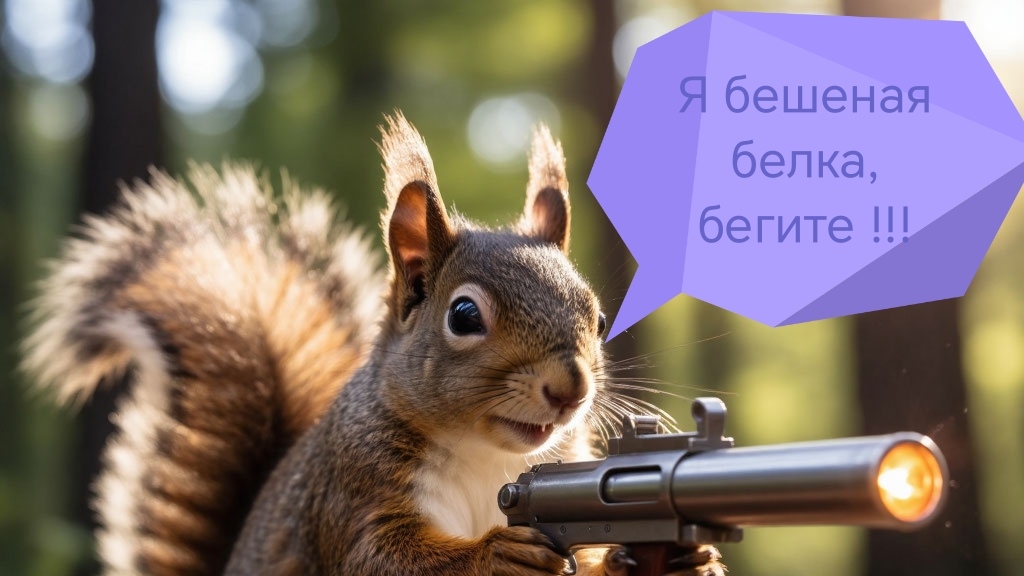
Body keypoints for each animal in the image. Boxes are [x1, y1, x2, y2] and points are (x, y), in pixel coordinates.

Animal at [22, 113, 724, 576]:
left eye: (599, 319)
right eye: (463, 314)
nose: (570, 388)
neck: (486, 463)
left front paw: (678, 559)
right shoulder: (350, 492)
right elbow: (381, 559)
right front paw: (493, 553)